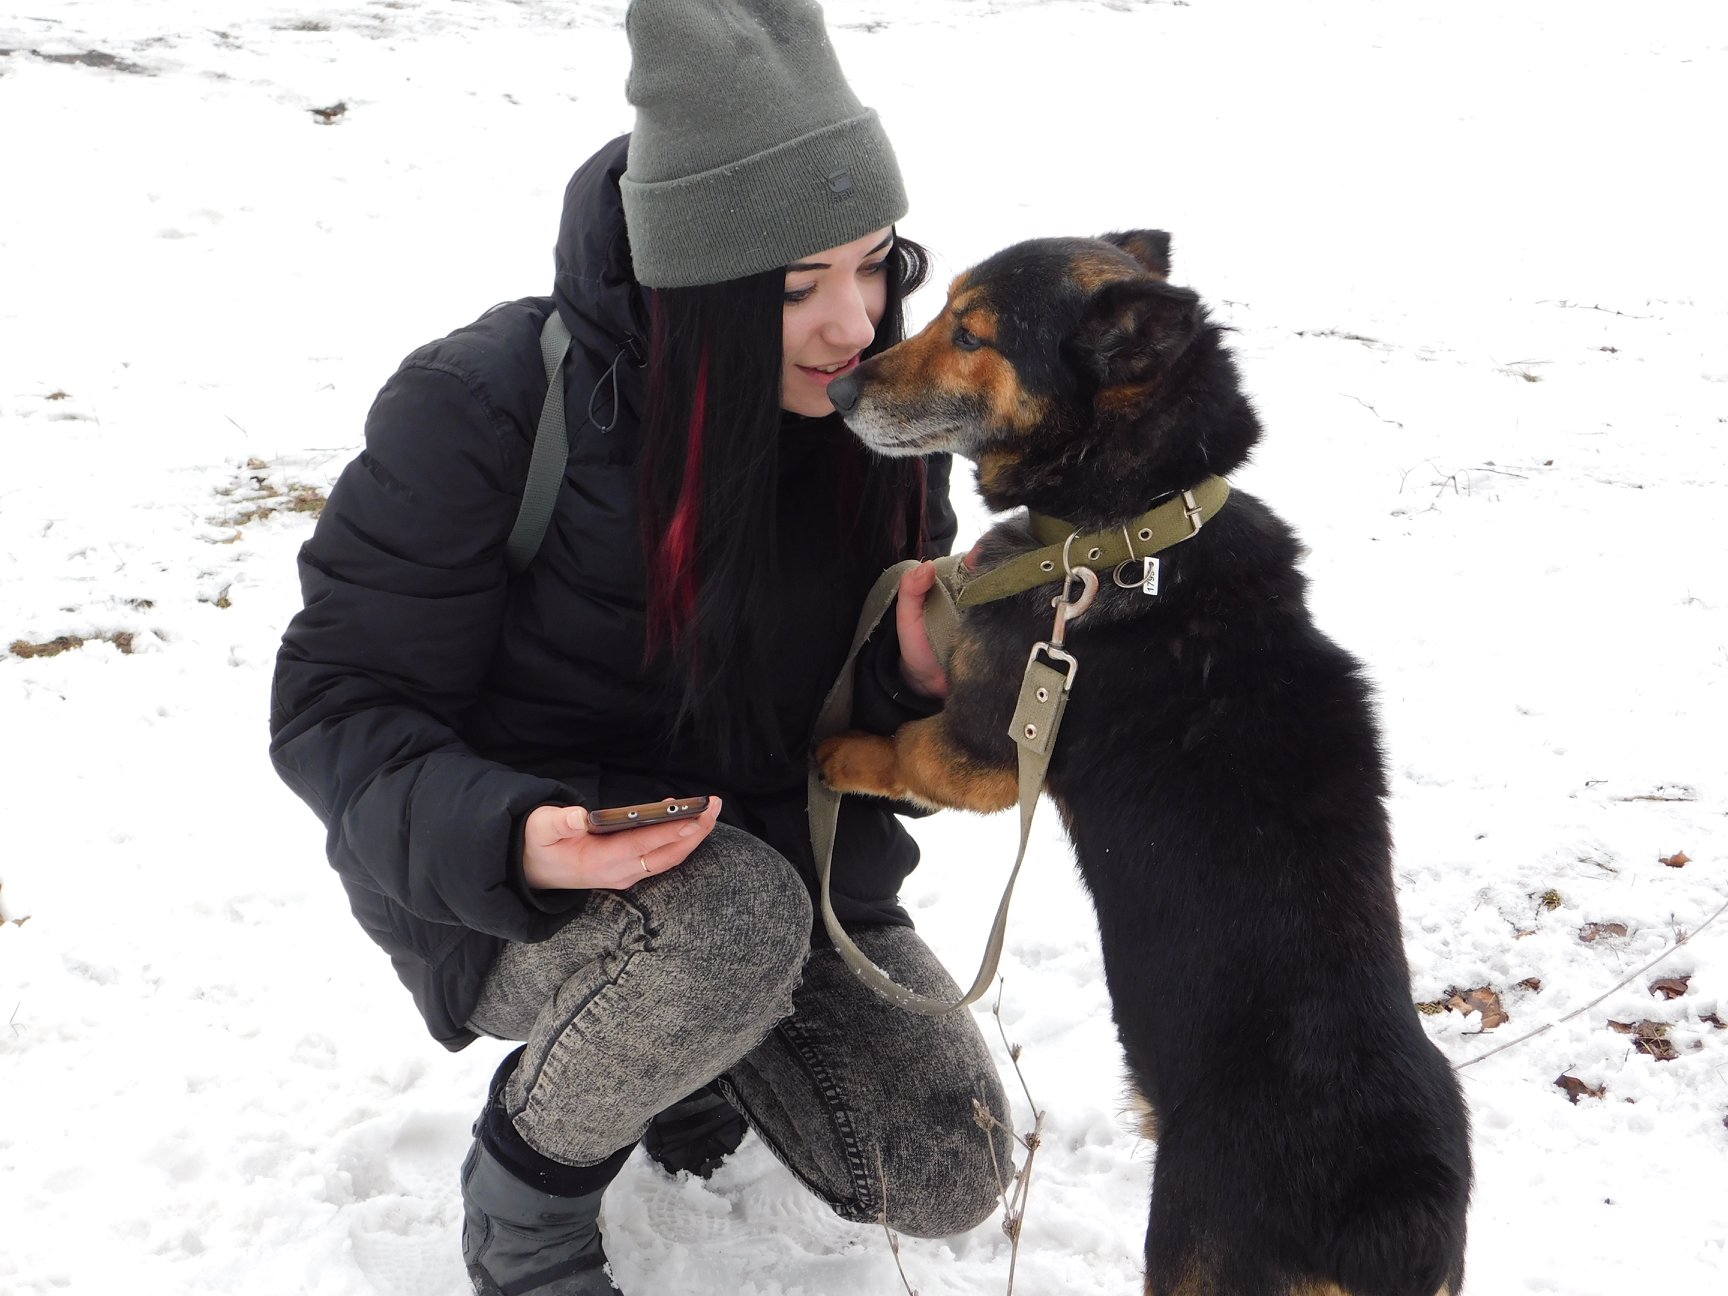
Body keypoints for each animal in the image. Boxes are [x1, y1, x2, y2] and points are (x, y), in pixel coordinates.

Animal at [817, 231, 1471, 1296]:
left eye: (972, 333)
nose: (836, 391)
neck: (1129, 527)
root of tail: (1391, 1219)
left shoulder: (989, 750)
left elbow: (904, 747)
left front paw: (830, 752)